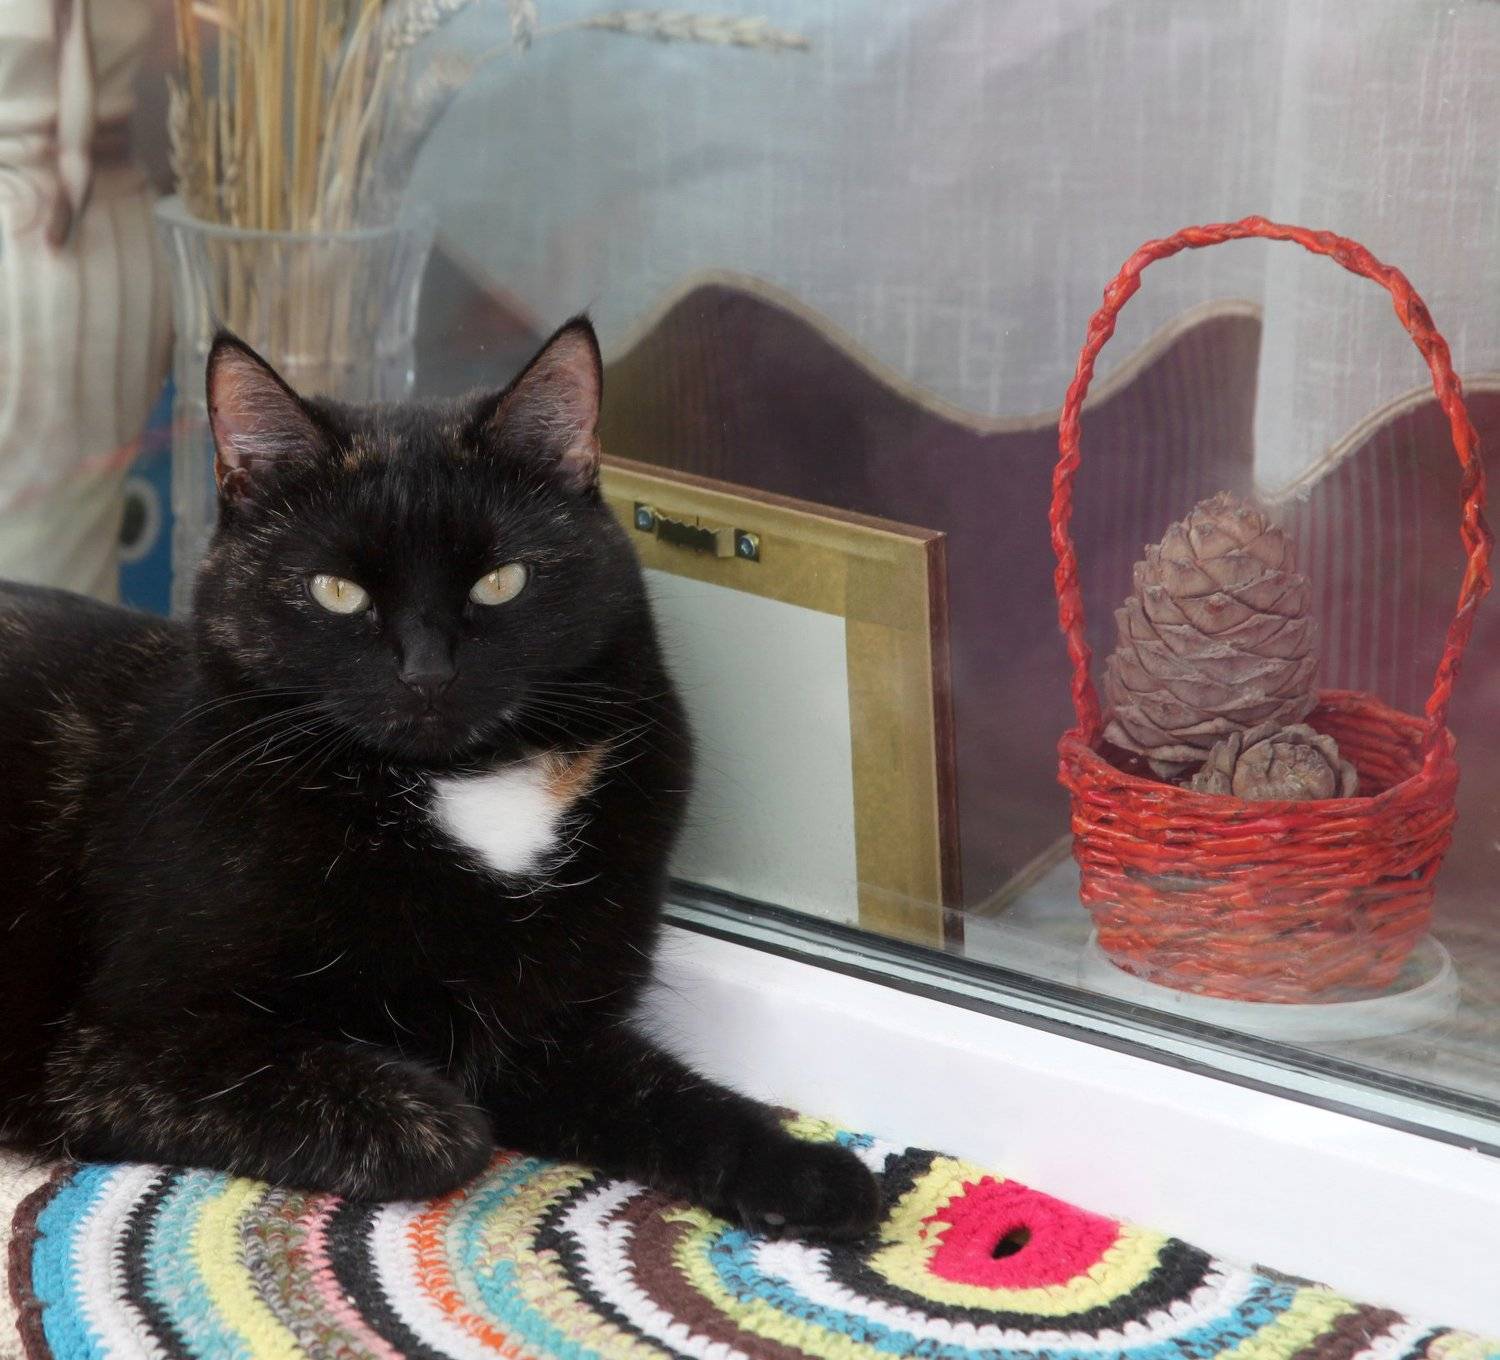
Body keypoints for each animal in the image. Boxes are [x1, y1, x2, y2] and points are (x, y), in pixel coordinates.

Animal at [0, 319, 879, 1239]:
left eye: (500, 581)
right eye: (337, 591)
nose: (427, 672)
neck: (463, 790)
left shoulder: (549, 1031)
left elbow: (670, 1099)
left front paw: (809, 1174)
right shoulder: (120, 1045)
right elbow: (438, 1124)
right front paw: (437, 1104)